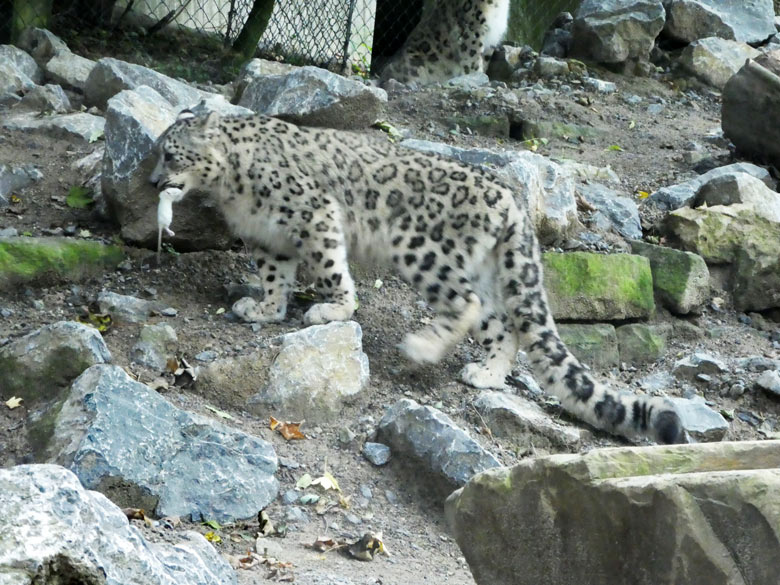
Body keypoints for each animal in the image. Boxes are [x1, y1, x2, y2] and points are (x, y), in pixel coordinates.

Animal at [151, 109, 684, 442]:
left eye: (171, 154)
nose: (154, 181)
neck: (231, 186)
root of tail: (511, 198)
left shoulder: (313, 213)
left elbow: (329, 267)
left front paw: (332, 309)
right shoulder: (268, 238)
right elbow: (274, 276)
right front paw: (264, 308)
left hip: (421, 250)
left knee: (467, 304)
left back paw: (421, 347)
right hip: (482, 270)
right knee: (501, 323)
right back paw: (485, 373)